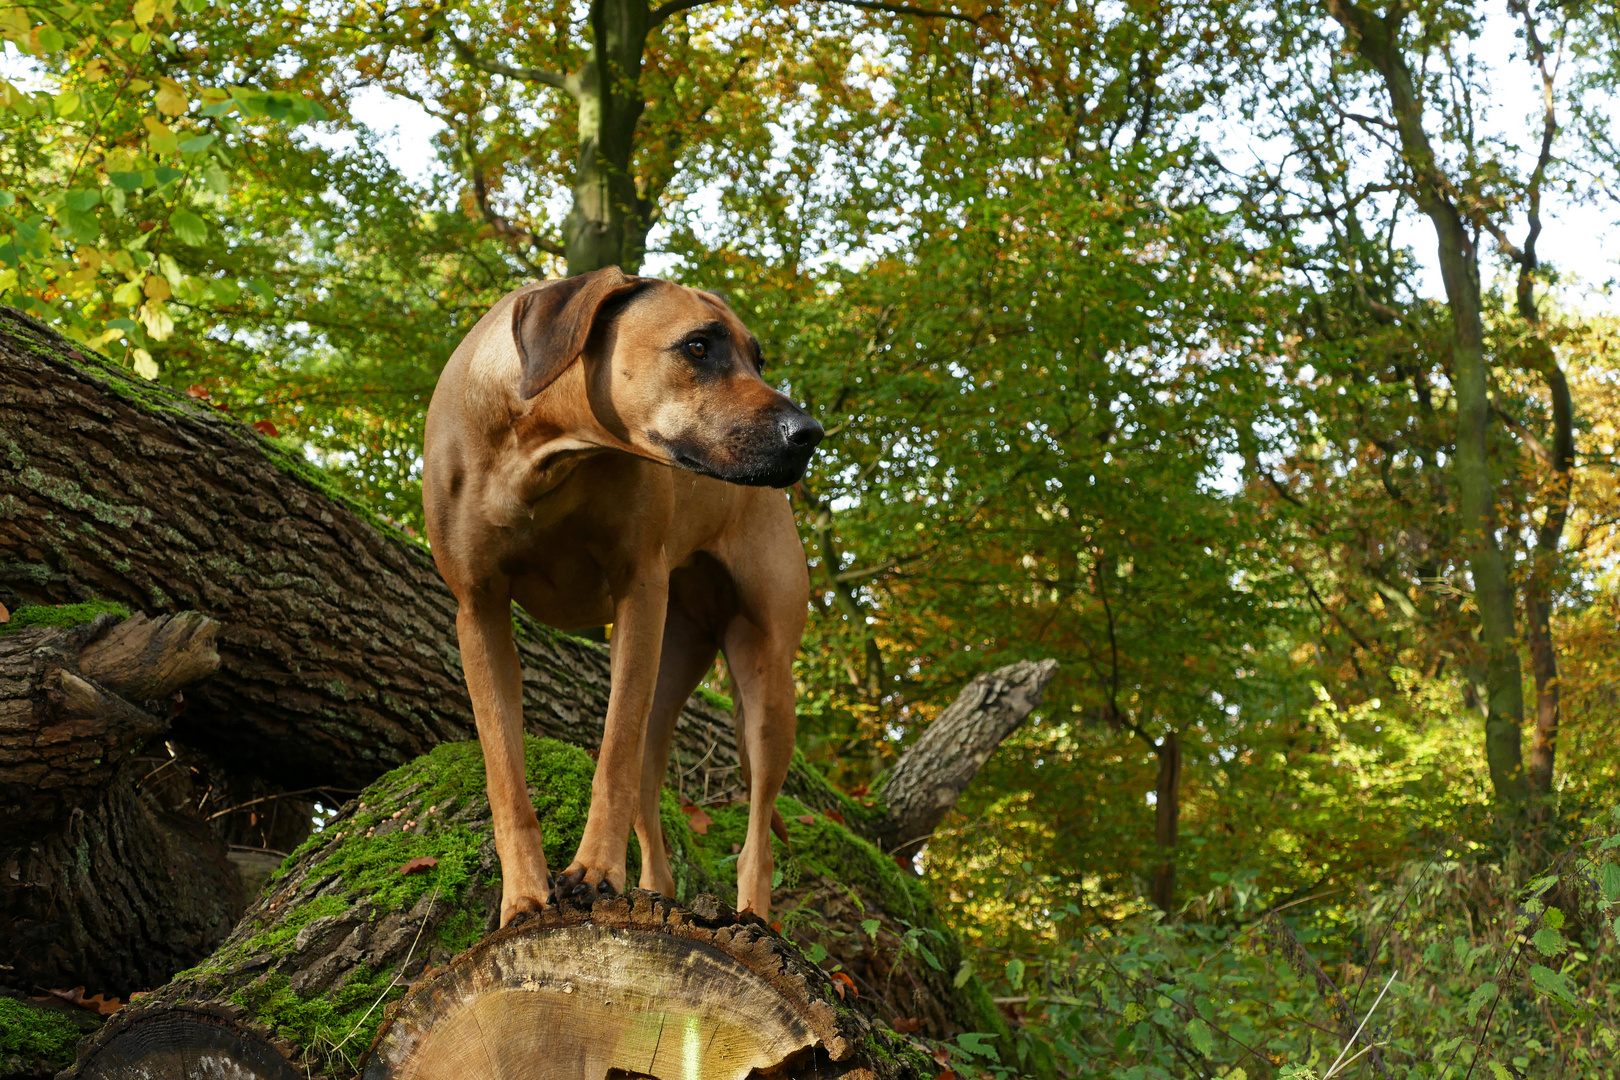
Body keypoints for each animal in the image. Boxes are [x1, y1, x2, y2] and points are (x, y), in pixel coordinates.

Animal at [421, 265, 822, 926]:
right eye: (697, 347)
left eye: (758, 359)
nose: (809, 433)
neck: (542, 451)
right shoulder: (478, 611)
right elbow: (506, 774)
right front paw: (523, 897)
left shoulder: (640, 589)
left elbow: (612, 758)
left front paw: (595, 874)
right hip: (673, 662)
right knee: (649, 782)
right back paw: (656, 892)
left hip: (765, 679)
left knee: (754, 837)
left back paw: (753, 918)